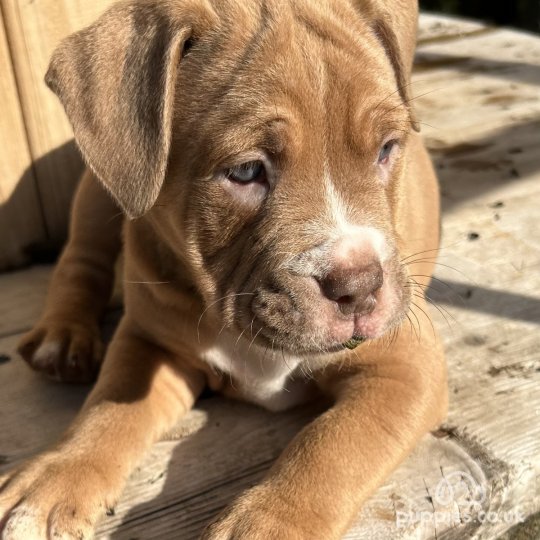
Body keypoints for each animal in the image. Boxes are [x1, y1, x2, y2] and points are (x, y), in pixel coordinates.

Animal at [0, 0, 448, 536]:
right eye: (245, 171)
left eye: (386, 149)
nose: (359, 287)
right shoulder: (149, 341)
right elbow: (106, 411)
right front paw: (55, 479)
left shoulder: (404, 366)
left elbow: (335, 443)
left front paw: (272, 521)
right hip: (95, 189)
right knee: (79, 261)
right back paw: (63, 338)